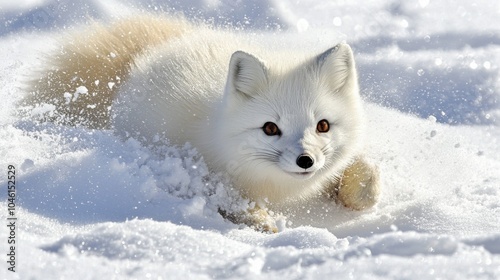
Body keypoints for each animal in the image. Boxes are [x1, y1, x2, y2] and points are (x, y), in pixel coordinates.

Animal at [23, 13, 378, 232]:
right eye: (270, 128)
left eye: (323, 125)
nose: (306, 161)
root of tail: (151, 52)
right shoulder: (201, 170)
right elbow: (233, 200)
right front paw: (262, 222)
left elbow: (365, 171)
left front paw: (360, 194)